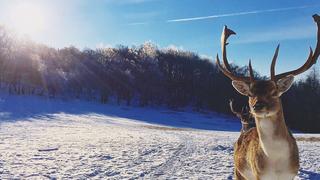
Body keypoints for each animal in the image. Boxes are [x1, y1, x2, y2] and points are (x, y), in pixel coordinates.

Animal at [216, 14, 318, 180]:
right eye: (250, 94)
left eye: (274, 92)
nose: (257, 106)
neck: (276, 166)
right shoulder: (259, 175)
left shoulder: (291, 174)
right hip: (238, 171)